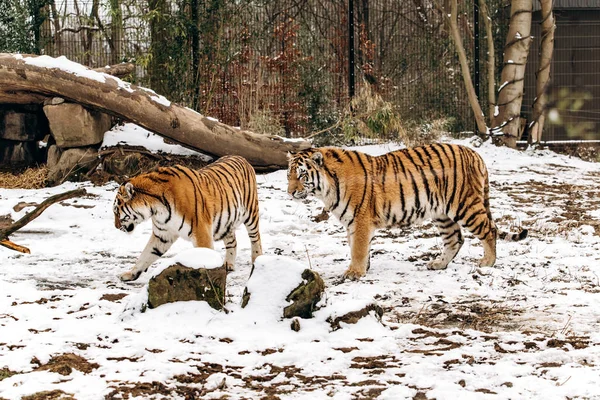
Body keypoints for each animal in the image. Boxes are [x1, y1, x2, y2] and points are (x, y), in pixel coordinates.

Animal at [112, 155, 262, 282]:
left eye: (116, 212)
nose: (116, 227)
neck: (156, 208)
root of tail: (241, 157)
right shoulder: (162, 234)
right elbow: (145, 255)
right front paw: (130, 274)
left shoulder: (201, 232)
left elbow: (205, 255)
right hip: (225, 223)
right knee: (232, 241)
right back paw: (228, 264)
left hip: (251, 213)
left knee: (255, 239)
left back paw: (257, 260)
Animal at [288, 145, 528, 282]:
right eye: (288, 175)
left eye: (301, 175)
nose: (289, 192)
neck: (327, 188)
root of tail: (476, 154)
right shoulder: (352, 222)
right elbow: (359, 247)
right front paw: (364, 268)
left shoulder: (360, 219)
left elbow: (357, 248)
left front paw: (354, 273)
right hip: (442, 213)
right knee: (455, 239)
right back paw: (438, 264)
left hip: (464, 205)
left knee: (489, 229)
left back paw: (487, 263)